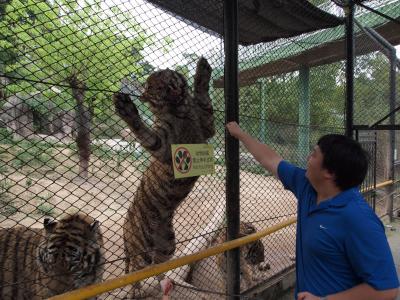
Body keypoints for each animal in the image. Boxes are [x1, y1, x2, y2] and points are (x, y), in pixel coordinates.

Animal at [112, 56, 216, 296]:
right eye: (158, 89)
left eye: (168, 78)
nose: (172, 88)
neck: (181, 110)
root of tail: (125, 227)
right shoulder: (163, 145)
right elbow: (144, 132)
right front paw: (126, 109)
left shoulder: (206, 126)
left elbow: (204, 101)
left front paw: (202, 72)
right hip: (141, 248)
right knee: (135, 271)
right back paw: (136, 292)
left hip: (167, 245)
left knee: (158, 266)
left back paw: (166, 283)